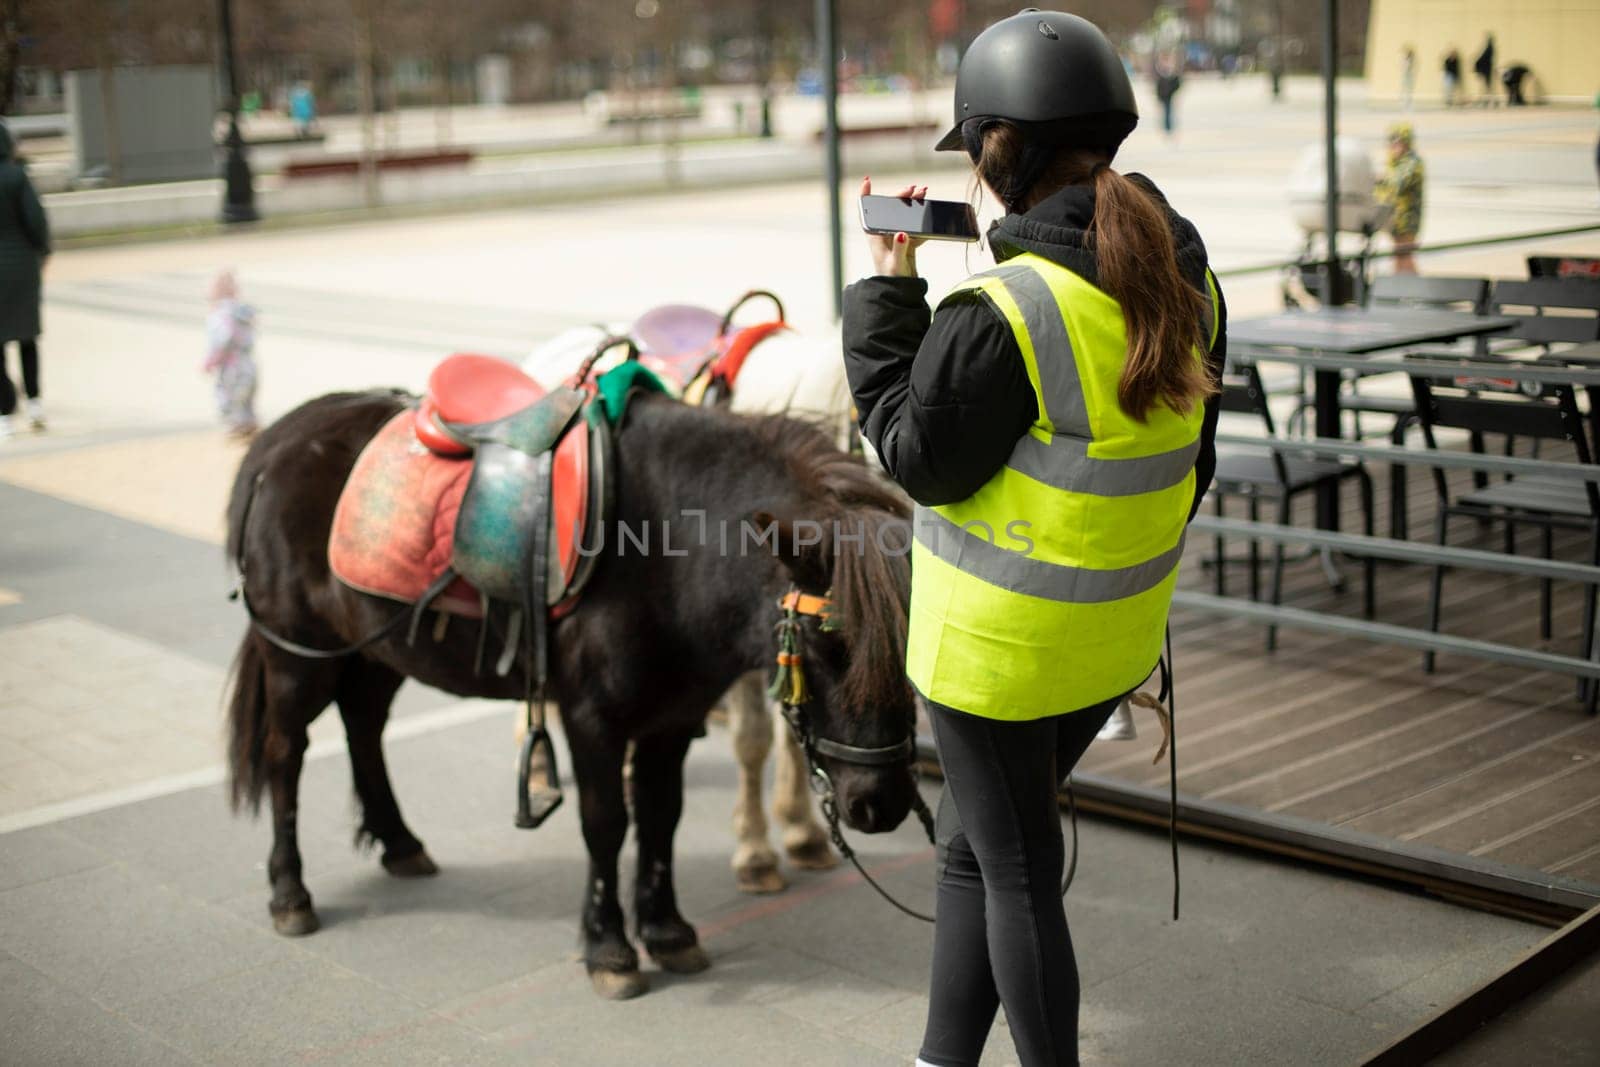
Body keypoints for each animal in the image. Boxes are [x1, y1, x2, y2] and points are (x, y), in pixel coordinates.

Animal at [228, 388, 928, 998]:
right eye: (823, 644)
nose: (880, 803)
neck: (665, 550)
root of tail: (278, 439)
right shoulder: (593, 717)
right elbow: (606, 823)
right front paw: (610, 948)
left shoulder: (673, 717)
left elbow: (661, 817)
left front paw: (667, 931)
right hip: (296, 653)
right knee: (285, 754)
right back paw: (289, 892)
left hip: (377, 645)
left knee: (364, 724)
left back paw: (400, 844)